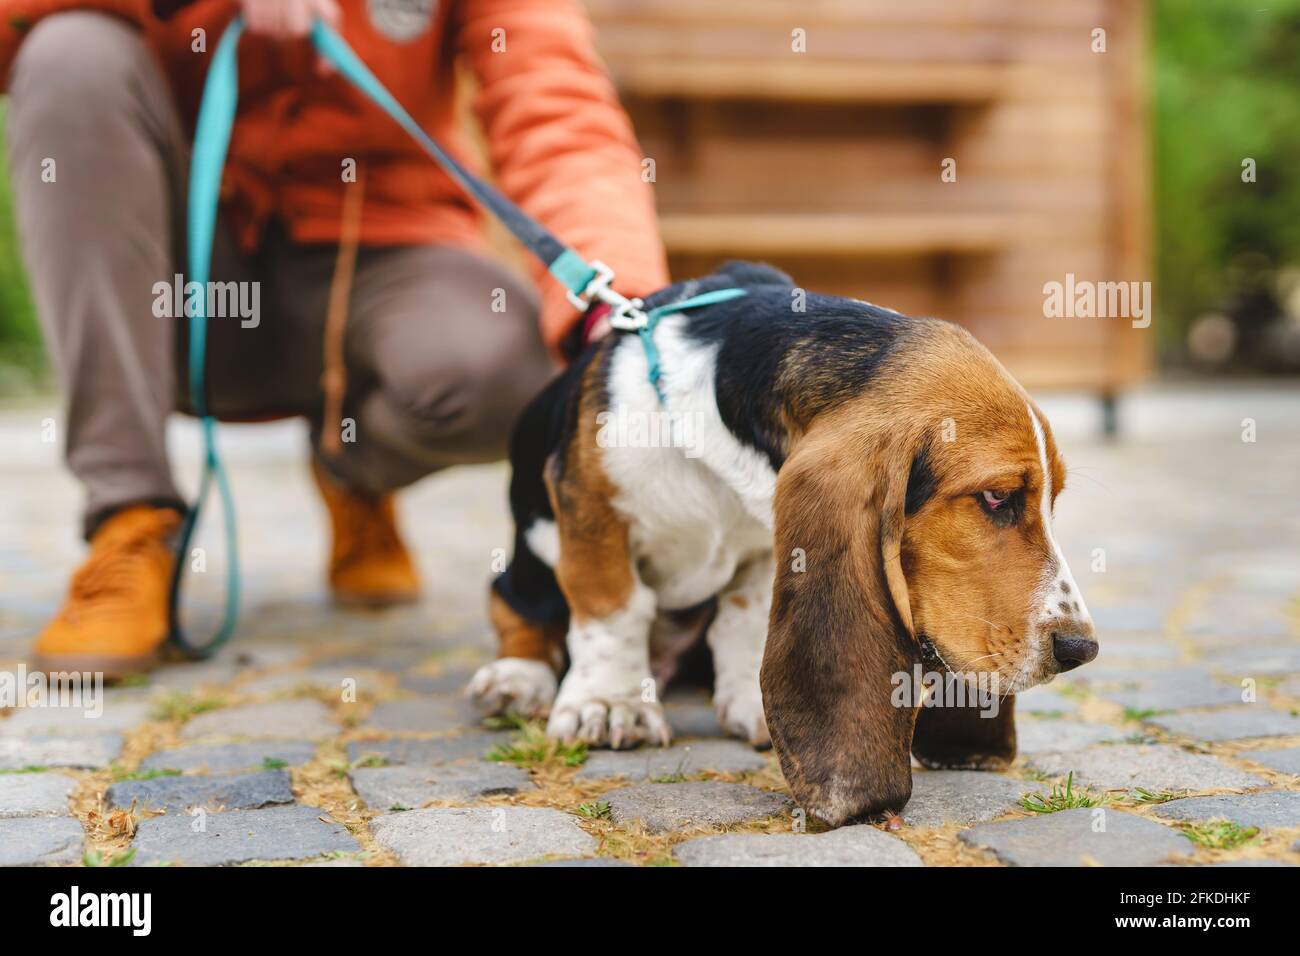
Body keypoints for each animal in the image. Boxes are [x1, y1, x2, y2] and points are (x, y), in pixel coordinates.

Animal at [467, 260, 1097, 822]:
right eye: (995, 497)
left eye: (1053, 500)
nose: (1081, 650)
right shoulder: (590, 510)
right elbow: (612, 607)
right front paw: (608, 701)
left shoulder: (766, 541)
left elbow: (743, 621)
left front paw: (750, 701)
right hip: (522, 571)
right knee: (519, 613)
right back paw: (518, 679)